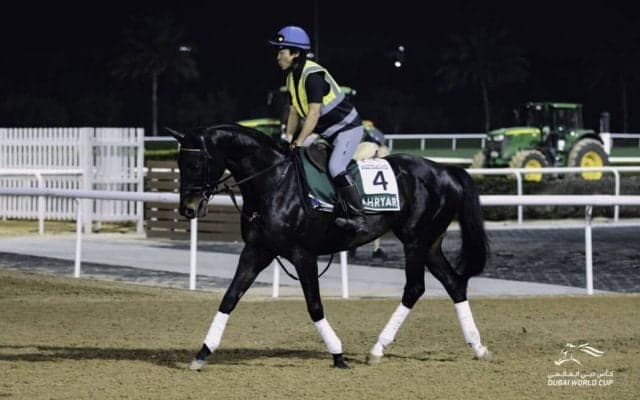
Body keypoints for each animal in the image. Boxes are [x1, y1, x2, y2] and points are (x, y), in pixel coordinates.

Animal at [169, 123, 491, 370]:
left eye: (196, 164)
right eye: (179, 163)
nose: (187, 209)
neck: (273, 181)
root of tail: (446, 170)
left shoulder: (303, 255)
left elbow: (314, 306)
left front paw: (337, 354)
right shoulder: (257, 251)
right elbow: (229, 298)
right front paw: (203, 352)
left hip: (415, 241)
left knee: (414, 289)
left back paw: (378, 348)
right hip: (429, 244)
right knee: (454, 283)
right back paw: (477, 346)